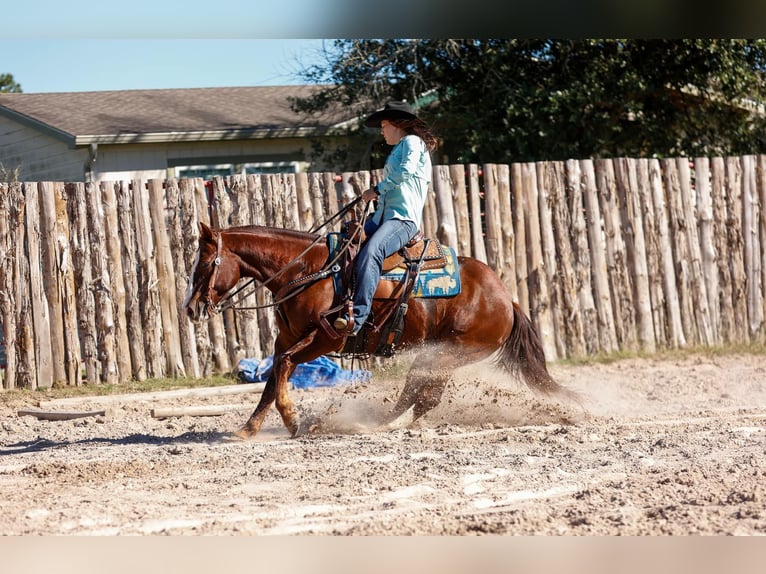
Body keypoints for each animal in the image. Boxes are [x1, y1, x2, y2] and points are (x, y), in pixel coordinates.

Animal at [183, 221, 577, 439]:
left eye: (205, 263)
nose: (190, 308)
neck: (308, 272)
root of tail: (506, 299)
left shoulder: (326, 338)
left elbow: (284, 367)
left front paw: (294, 419)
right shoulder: (287, 339)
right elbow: (272, 379)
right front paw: (248, 429)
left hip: (446, 354)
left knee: (419, 396)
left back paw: (365, 425)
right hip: (439, 355)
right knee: (421, 397)